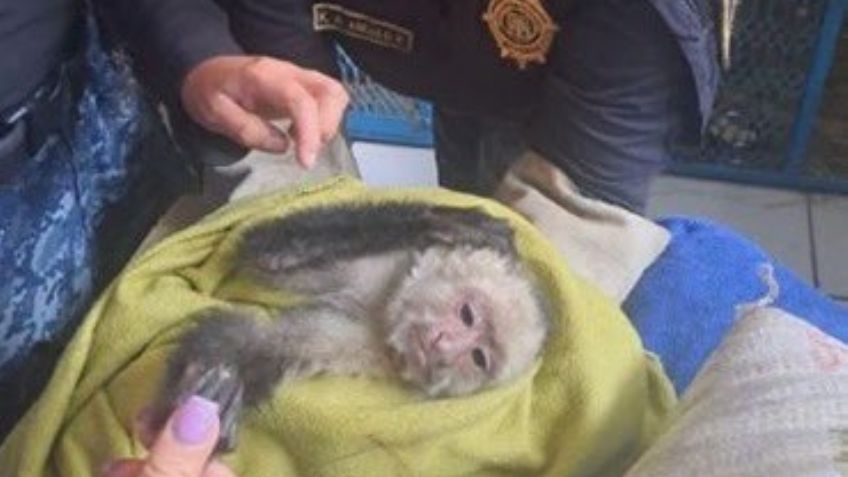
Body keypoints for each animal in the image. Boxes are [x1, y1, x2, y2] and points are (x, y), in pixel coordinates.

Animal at [149, 203, 551, 453]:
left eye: (478, 357)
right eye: (467, 314)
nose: (444, 344)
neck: (385, 304)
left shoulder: (370, 350)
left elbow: (271, 342)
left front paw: (224, 381)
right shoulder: (375, 267)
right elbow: (269, 250)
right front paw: (448, 223)